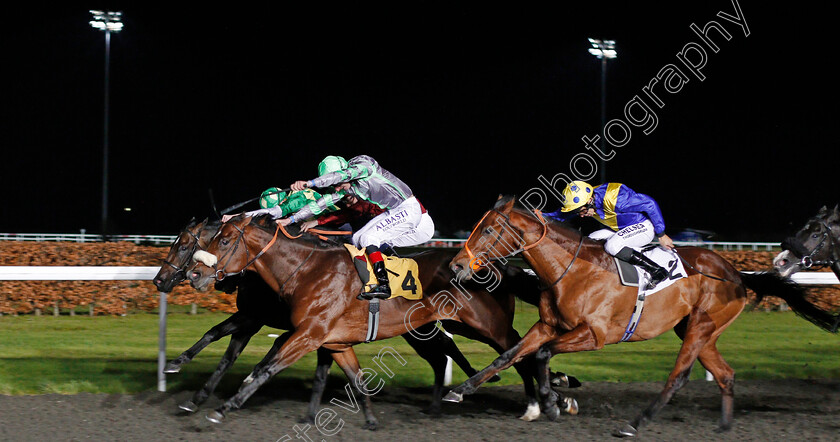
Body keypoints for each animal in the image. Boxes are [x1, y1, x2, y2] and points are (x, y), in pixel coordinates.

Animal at [185, 214, 544, 424]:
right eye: (208, 239)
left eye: (224, 240)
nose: (194, 274)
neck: (306, 270)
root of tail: (492, 264)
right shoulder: (336, 341)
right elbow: (356, 378)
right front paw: (370, 420)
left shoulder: (309, 334)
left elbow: (265, 368)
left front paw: (224, 407)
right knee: (472, 353)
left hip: (486, 324)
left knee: (517, 351)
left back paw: (536, 404)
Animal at [442, 198, 832, 438]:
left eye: (488, 230)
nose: (457, 266)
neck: (571, 270)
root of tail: (736, 274)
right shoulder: (548, 325)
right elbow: (509, 355)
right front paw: (460, 390)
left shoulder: (594, 335)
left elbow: (541, 355)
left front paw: (556, 402)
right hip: (697, 331)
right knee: (725, 374)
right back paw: (723, 427)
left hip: (701, 327)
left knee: (678, 377)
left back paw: (635, 423)